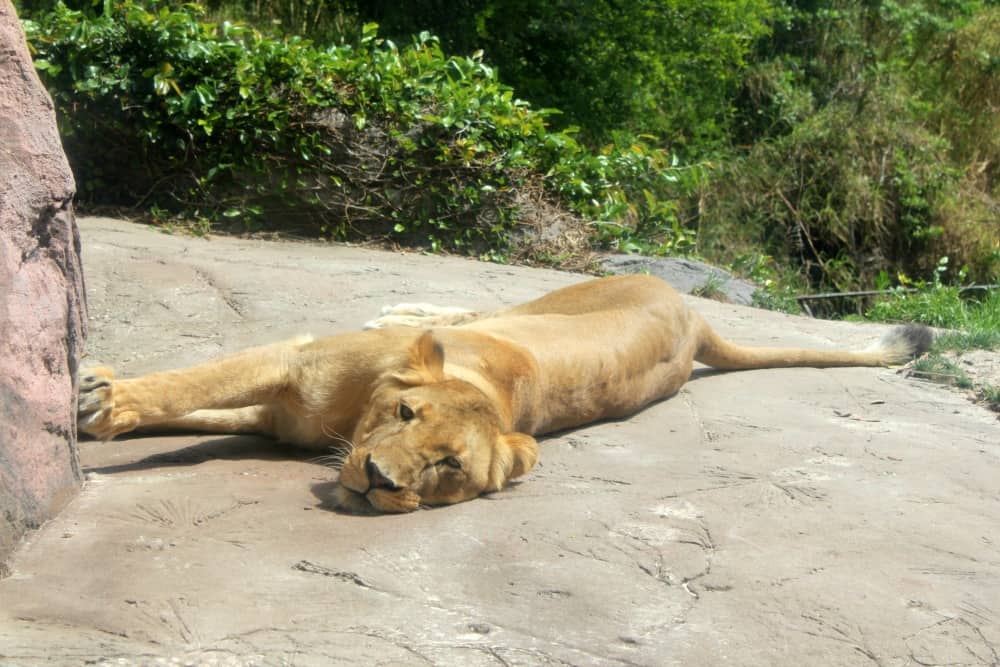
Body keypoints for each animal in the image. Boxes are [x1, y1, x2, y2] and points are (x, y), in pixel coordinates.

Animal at [78, 274, 928, 516]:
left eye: (448, 465)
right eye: (405, 413)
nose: (377, 481)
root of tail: (695, 312)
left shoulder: (283, 414)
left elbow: (203, 404)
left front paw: (99, 404)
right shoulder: (295, 366)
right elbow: (189, 385)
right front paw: (100, 400)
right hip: (543, 298)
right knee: (454, 308)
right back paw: (396, 310)